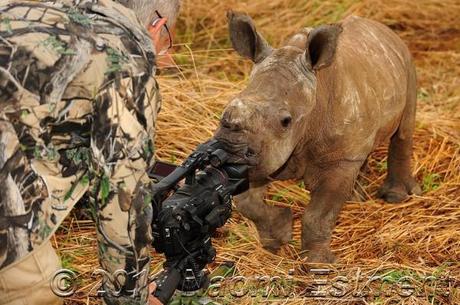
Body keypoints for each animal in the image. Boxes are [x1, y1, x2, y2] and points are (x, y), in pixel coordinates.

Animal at [214, 10, 422, 260]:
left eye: (286, 121)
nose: (230, 146)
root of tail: (385, 30)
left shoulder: (338, 160)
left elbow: (318, 215)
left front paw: (318, 263)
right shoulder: (265, 153)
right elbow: (246, 202)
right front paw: (277, 239)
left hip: (407, 65)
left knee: (404, 130)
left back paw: (395, 197)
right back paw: (356, 199)